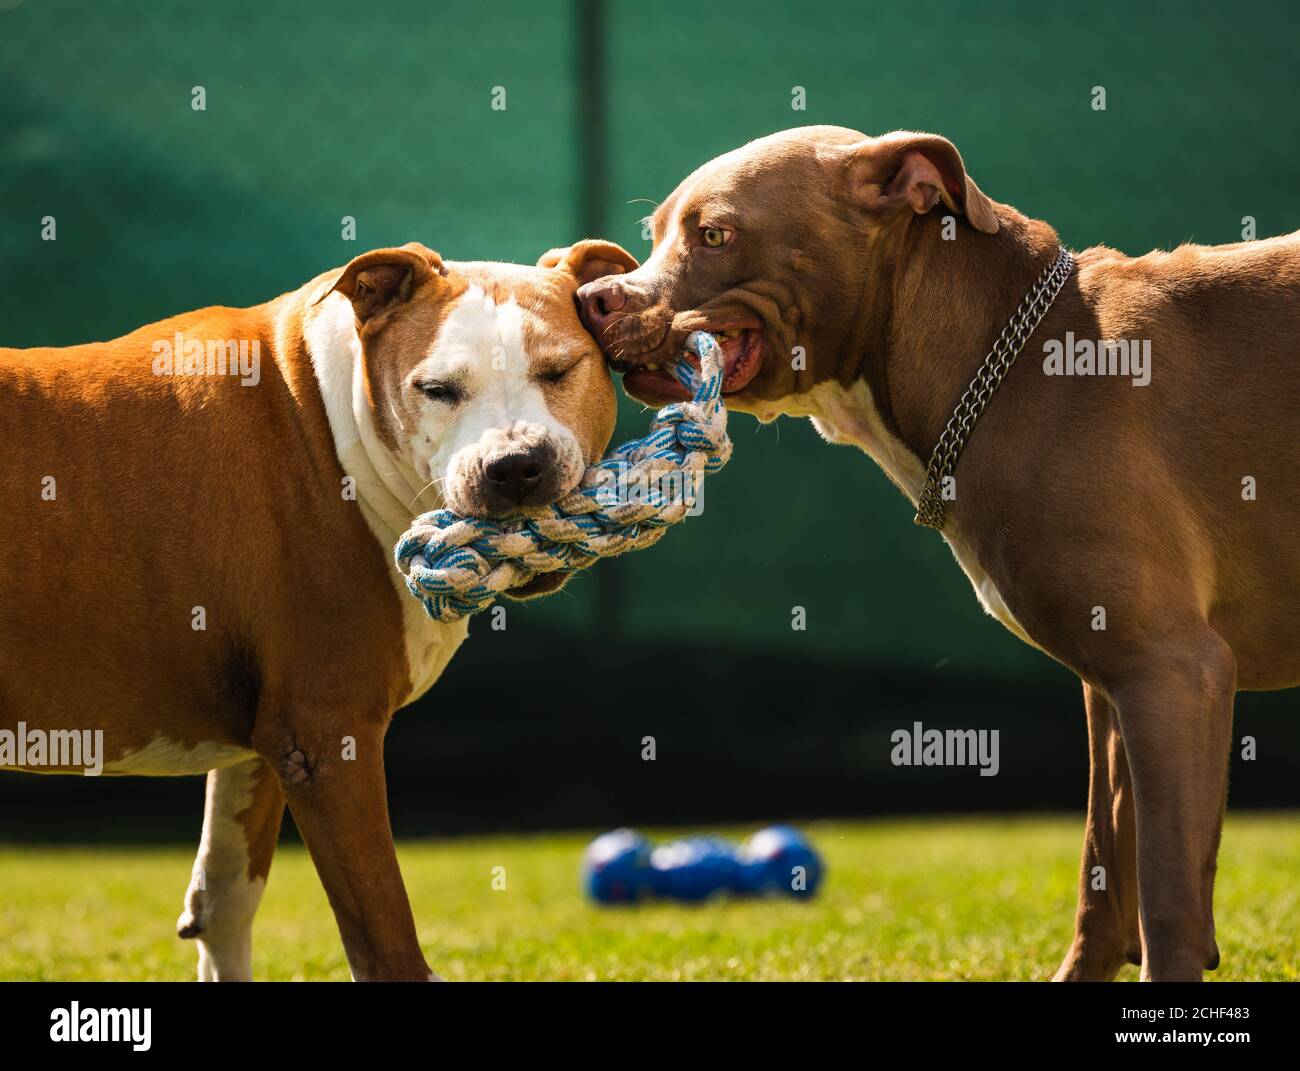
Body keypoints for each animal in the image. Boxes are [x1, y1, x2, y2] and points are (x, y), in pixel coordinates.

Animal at [0, 237, 637, 982]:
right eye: (436, 389)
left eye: (559, 369)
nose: (515, 465)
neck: (337, 426)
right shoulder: (328, 736)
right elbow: (387, 941)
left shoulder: (263, 743)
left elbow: (224, 900)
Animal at [579, 125, 1300, 977]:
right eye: (652, 234)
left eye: (715, 234)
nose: (591, 298)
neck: (1008, 357)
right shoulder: (1115, 688)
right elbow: (1104, 863)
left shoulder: (1171, 670)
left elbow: (1165, 886)